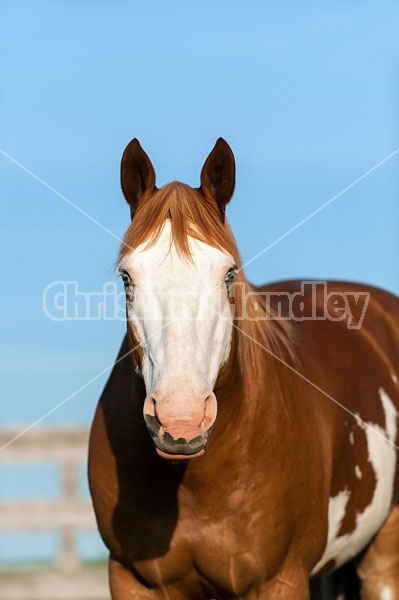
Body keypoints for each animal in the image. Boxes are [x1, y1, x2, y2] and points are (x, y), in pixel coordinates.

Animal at [90, 138, 399, 596]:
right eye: (127, 277)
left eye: (228, 273)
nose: (180, 420)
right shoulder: (132, 580)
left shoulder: (280, 580)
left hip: (382, 558)